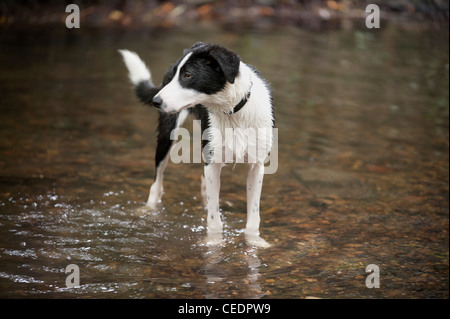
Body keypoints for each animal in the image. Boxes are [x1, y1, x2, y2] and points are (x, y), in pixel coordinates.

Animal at [119, 41, 274, 244]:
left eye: (188, 75)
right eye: (177, 75)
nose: (156, 101)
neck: (232, 112)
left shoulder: (256, 166)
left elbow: (254, 216)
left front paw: (254, 243)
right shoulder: (213, 162)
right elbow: (215, 221)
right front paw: (214, 244)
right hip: (167, 136)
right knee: (156, 184)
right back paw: (148, 210)